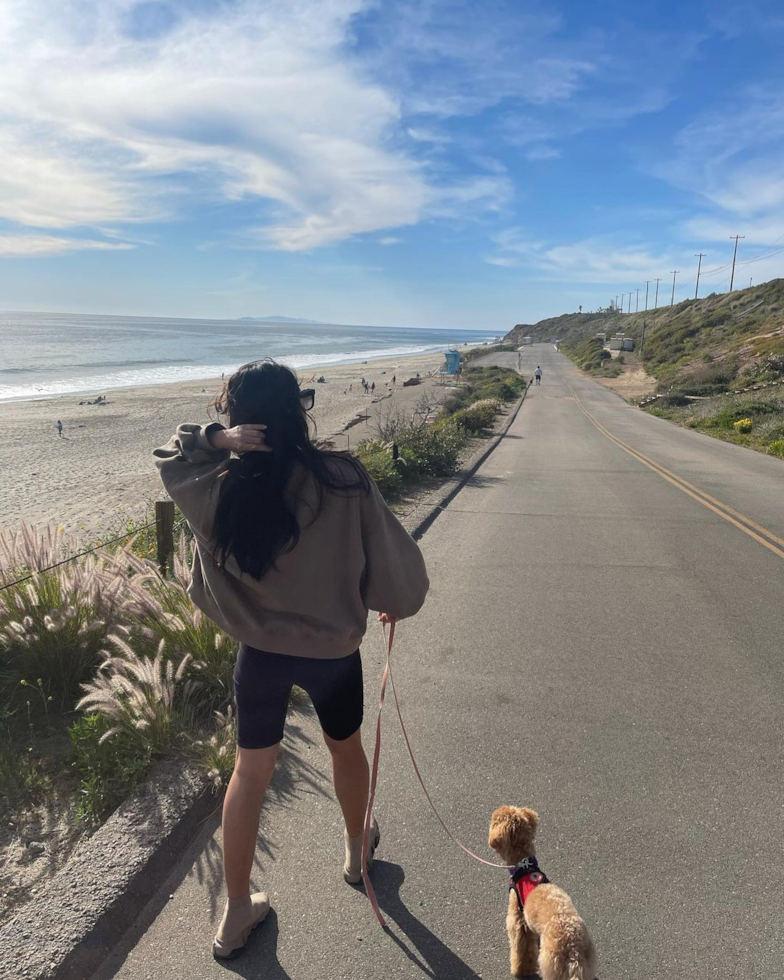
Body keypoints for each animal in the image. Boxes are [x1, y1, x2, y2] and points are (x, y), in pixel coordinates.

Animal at [486, 808, 596, 976]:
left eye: (494, 822)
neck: (524, 866)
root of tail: (574, 951)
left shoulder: (518, 919)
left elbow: (521, 950)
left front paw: (520, 969)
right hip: (587, 965)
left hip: (551, 964)